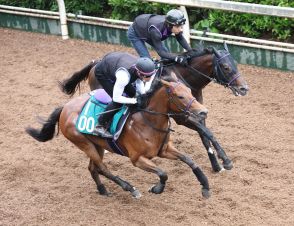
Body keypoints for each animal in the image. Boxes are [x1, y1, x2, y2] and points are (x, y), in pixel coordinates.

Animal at [25, 78, 211, 199]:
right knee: (102, 168)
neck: (147, 121)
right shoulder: (137, 159)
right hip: (83, 143)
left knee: (93, 168)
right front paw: (157, 189)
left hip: (97, 145)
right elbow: (163, 173)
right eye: (180, 96)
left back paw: (102, 190)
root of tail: (65, 107)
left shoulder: (164, 150)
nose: (203, 112)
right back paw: (130, 188)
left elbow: (190, 161)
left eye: (190, 91)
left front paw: (206, 187)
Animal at [59, 42, 248, 173]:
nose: (244, 88)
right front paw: (225, 161)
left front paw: (217, 164)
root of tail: (97, 62)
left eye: (236, 64)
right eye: (225, 67)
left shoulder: (197, 112)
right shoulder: (182, 117)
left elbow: (205, 135)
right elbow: (207, 133)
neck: (184, 77)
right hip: (106, 88)